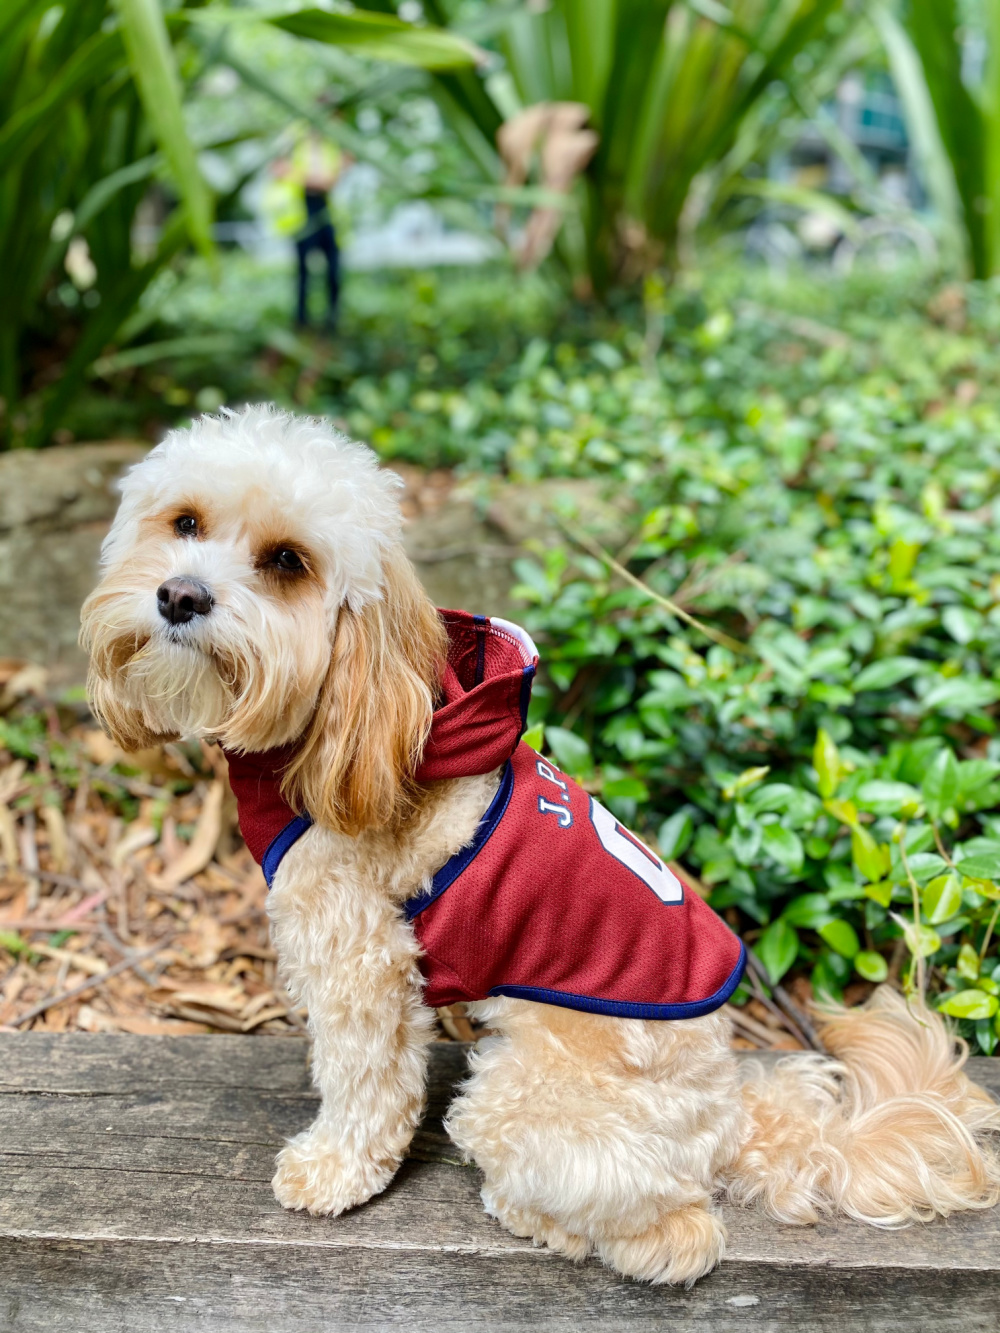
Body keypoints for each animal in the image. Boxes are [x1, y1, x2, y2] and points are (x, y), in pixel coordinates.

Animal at [82, 402, 1000, 1279]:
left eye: (286, 561)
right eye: (186, 522)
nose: (179, 596)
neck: (360, 715)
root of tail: (732, 1112)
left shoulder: (361, 955)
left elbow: (366, 1081)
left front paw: (334, 1171)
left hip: (520, 1099)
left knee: (679, 1230)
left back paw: (542, 1218)